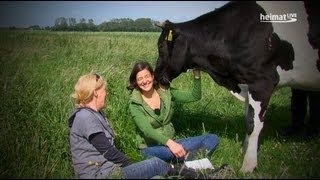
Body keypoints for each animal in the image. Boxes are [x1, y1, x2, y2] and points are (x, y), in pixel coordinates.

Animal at [154, 1, 318, 173]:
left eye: (161, 45)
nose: (156, 76)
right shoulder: (247, 85)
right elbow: (247, 120)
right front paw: (244, 151)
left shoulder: (262, 83)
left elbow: (253, 125)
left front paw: (248, 165)